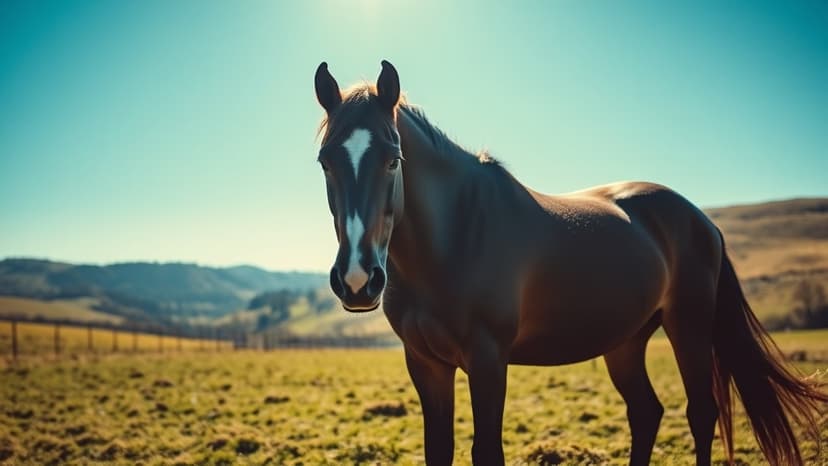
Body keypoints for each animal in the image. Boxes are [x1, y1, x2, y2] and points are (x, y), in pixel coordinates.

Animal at [312, 60, 826, 466]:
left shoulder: (488, 360)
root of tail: (700, 218)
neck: (457, 235)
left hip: (689, 325)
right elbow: (439, 451)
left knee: (700, 414)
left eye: (393, 160)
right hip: (626, 341)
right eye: (325, 162)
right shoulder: (425, 364)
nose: (357, 281)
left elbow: (487, 451)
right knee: (647, 413)